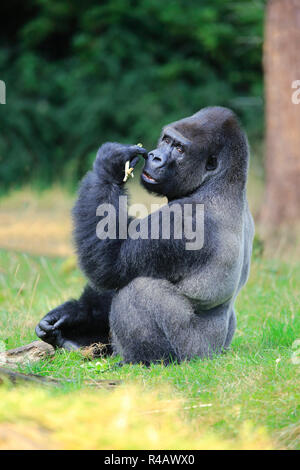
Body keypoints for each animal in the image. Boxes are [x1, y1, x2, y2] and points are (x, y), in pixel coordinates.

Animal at [36, 106, 254, 364]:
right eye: (166, 140)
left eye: (179, 149)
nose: (155, 156)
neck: (221, 182)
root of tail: (219, 353)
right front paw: (74, 314)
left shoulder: (182, 220)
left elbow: (112, 265)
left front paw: (110, 165)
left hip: (196, 355)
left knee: (138, 290)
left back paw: (146, 360)